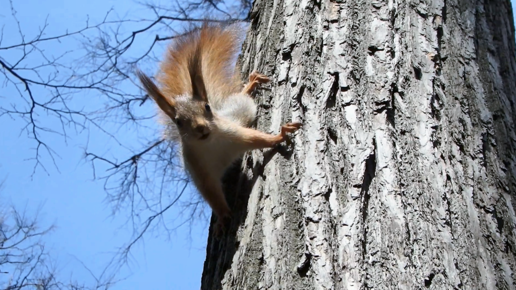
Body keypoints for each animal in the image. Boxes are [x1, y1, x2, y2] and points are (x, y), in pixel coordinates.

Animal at [136, 24, 302, 233]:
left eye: (207, 107)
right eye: (178, 122)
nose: (200, 128)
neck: (211, 144)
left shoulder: (235, 133)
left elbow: (257, 138)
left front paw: (280, 135)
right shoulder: (199, 168)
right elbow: (211, 193)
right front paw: (223, 217)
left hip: (236, 112)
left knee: (242, 98)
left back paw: (250, 85)